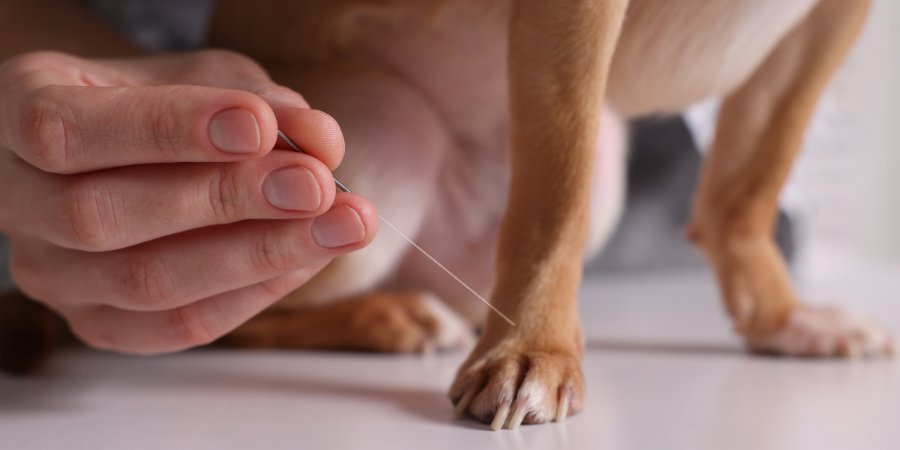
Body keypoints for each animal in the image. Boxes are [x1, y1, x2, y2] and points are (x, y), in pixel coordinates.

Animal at [0, 0, 888, 430]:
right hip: (386, 139)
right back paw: (385, 317)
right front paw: (536, 349)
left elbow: (753, 170)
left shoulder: (830, 19)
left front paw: (781, 317)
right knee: (227, 324)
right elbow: (552, 196)